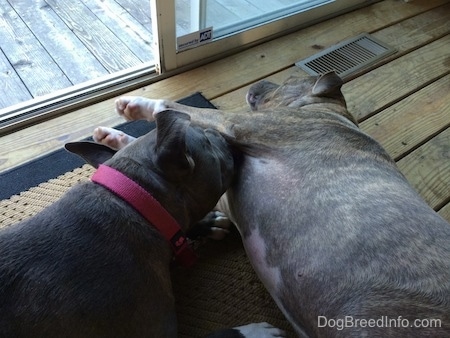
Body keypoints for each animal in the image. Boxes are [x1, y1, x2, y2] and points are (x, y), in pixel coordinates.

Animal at [100, 70, 450, 336]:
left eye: (288, 79)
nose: (257, 83)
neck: (325, 109)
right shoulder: (224, 190)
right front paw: (115, 140)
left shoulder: (238, 126)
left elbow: (177, 109)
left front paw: (135, 105)